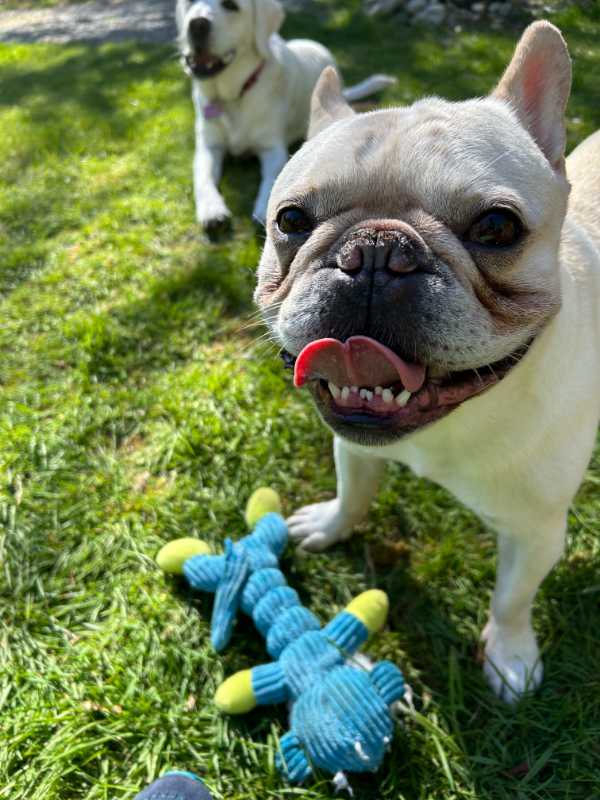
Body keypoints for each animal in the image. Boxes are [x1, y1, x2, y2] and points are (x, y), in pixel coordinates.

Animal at [176, 0, 396, 231]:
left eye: (231, 6)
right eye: (190, 3)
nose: (197, 24)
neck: (233, 96)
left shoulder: (272, 148)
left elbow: (271, 176)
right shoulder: (209, 146)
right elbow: (203, 177)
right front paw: (212, 209)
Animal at [255, 21, 600, 700]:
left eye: (497, 227)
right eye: (291, 219)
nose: (374, 251)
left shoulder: (536, 531)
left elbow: (511, 600)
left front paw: (510, 657)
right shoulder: (353, 445)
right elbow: (354, 493)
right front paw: (331, 525)